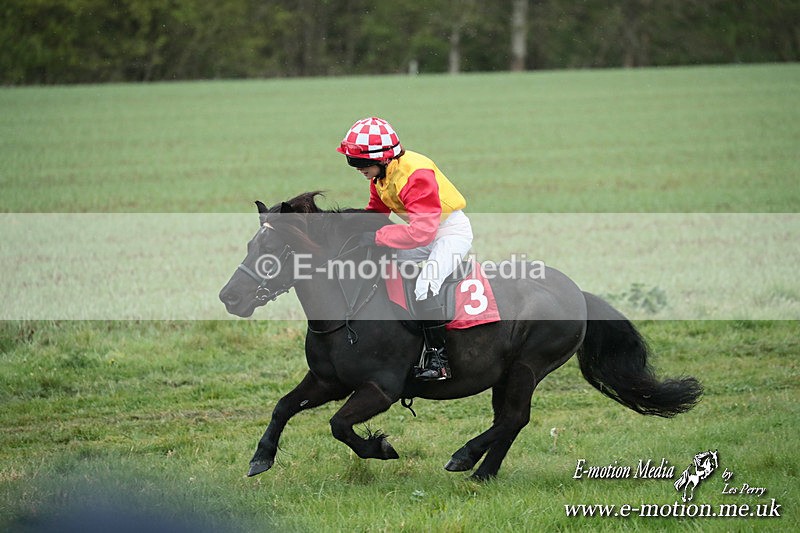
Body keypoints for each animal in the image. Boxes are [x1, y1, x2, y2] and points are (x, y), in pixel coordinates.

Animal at [219, 192, 703, 481]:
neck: (350, 307)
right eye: (249, 247)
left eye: (272, 250)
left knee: (514, 418)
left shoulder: (380, 388)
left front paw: (380, 448)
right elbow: (283, 406)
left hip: (528, 366)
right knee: (509, 420)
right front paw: (260, 457)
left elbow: (339, 425)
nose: (229, 296)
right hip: (506, 374)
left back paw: (466, 458)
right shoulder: (327, 380)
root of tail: (576, 293)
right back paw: (483, 471)